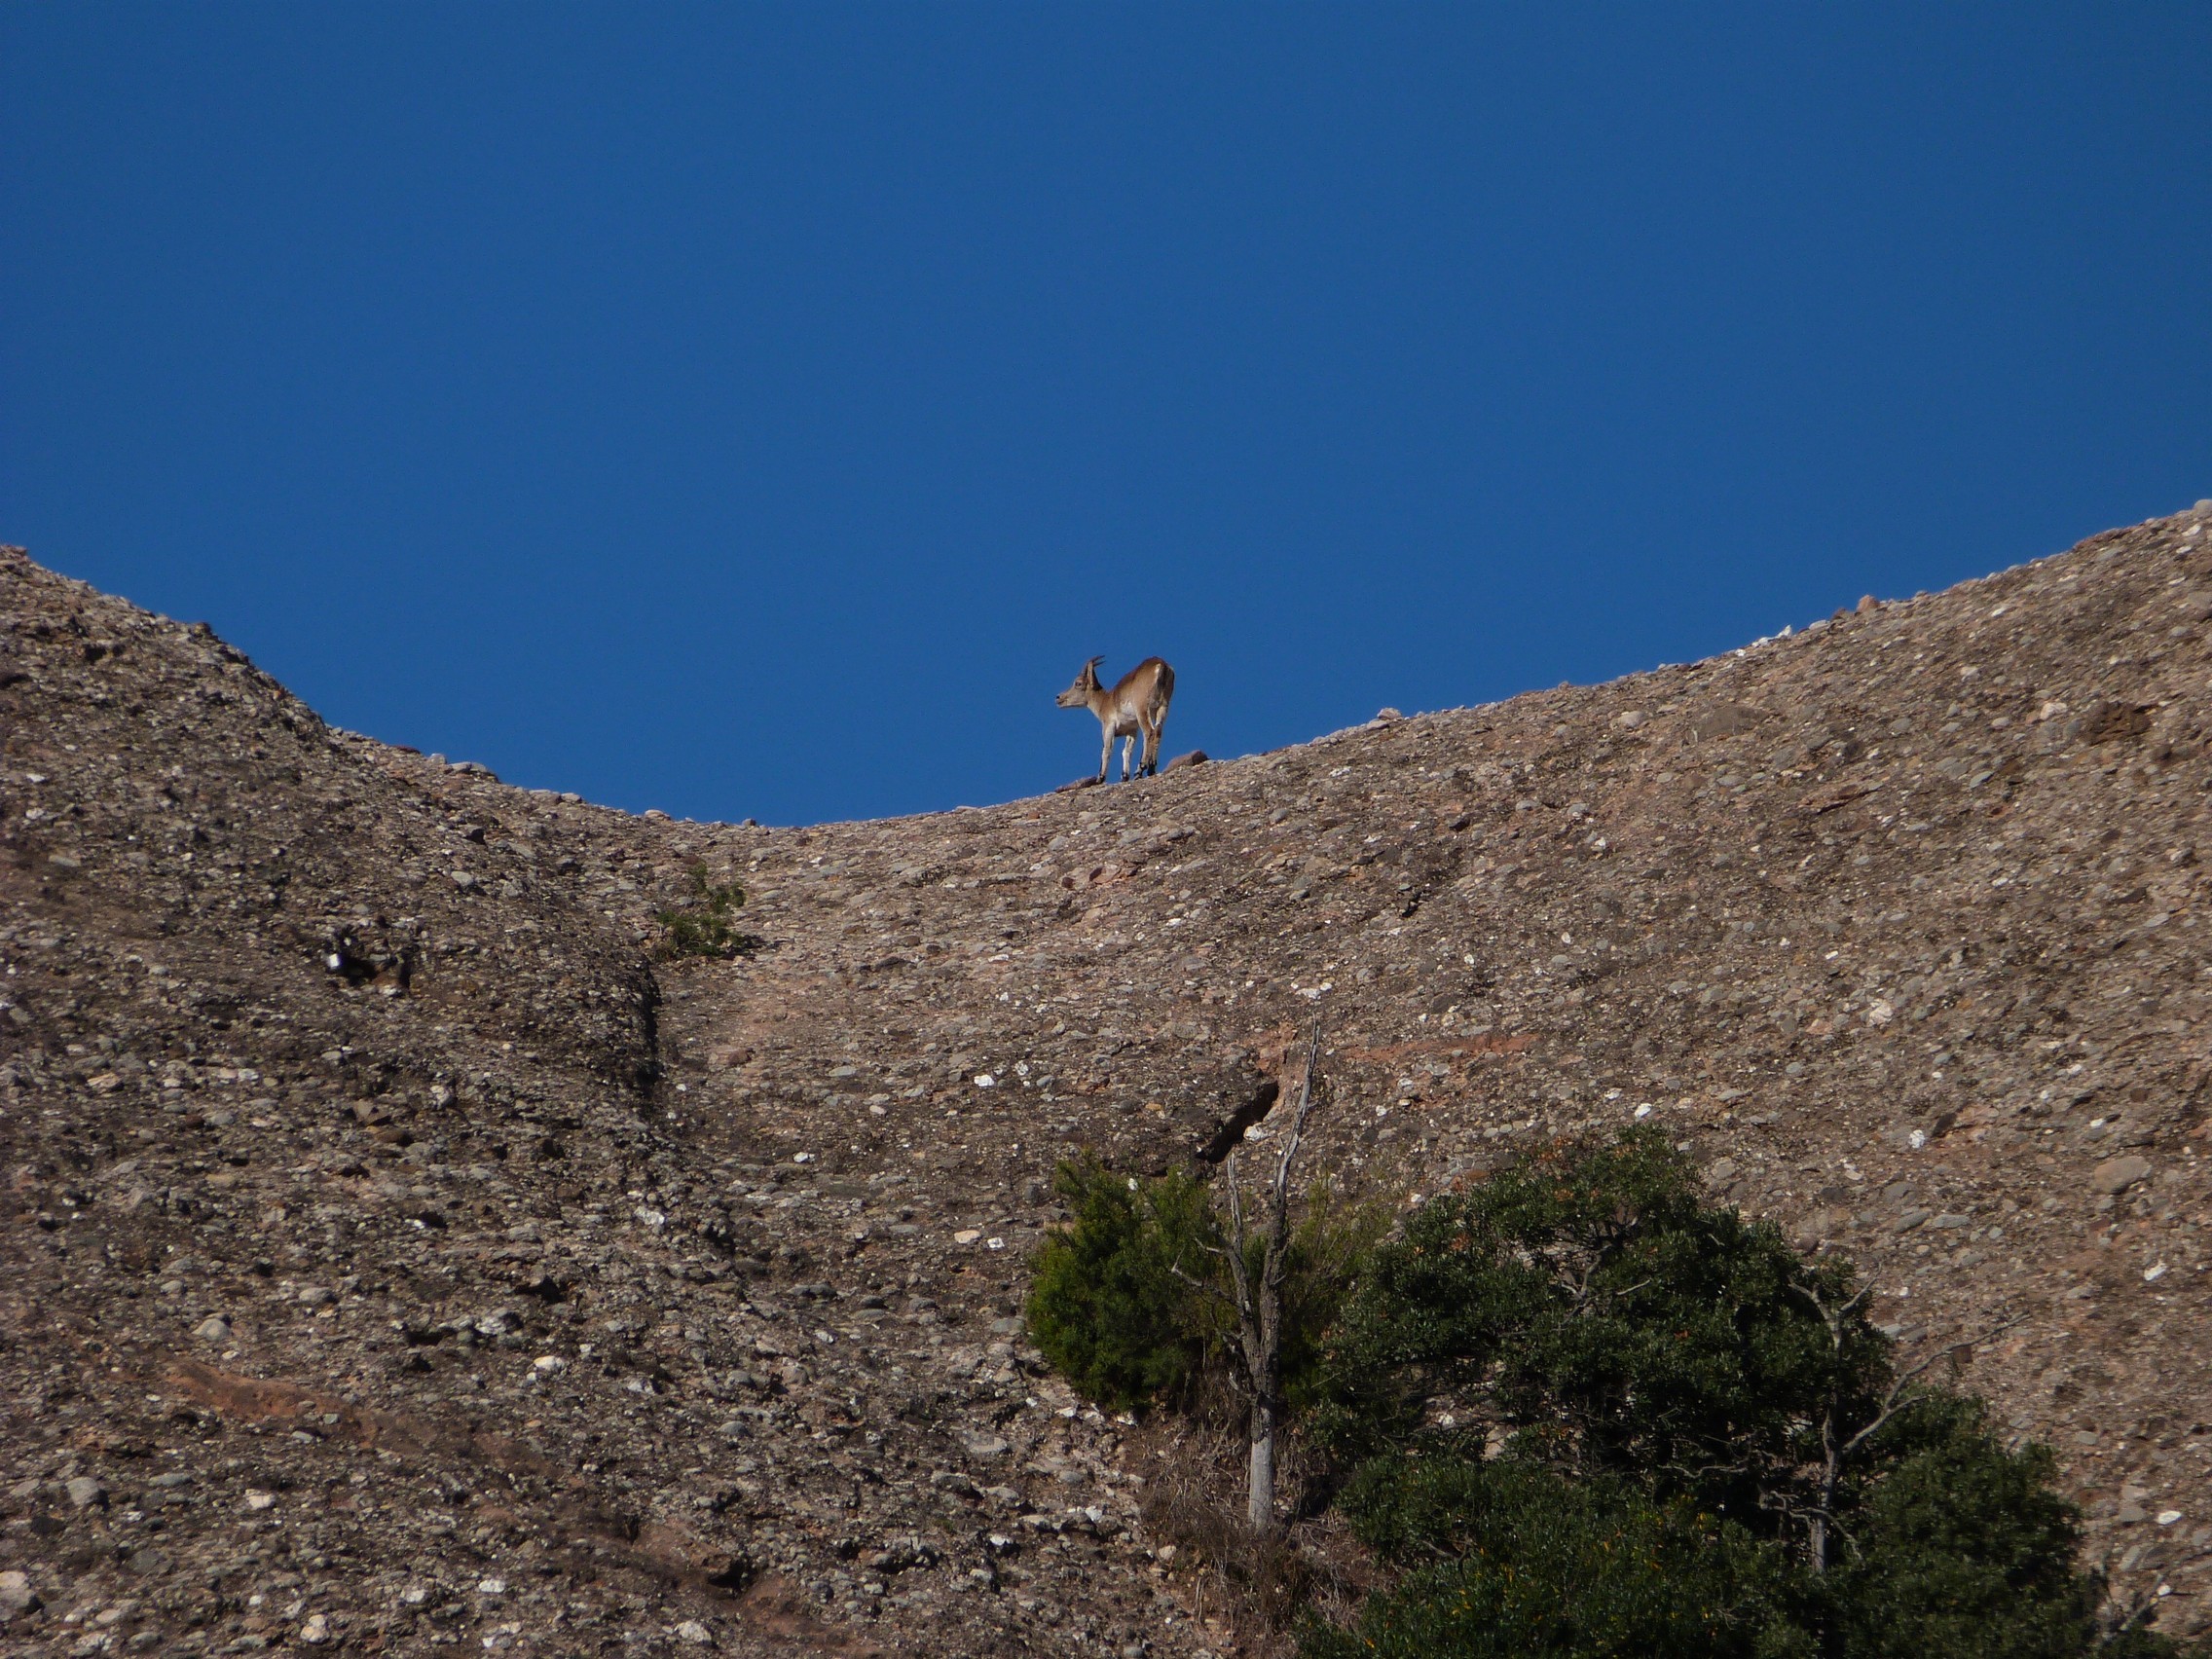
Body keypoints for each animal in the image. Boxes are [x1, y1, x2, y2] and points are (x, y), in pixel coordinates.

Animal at [1057, 656, 1175, 782]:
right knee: (1158, 732)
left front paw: (1100, 778)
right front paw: (1124, 776)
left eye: (1078, 683)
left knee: (1149, 732)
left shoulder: (1108, 725)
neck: (1105, 701)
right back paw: (1151, 768)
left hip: (1142, 708)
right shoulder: (1131, 729)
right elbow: (1126, 751)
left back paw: (1140, 768)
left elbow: (1107, 749)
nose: (1058, 697)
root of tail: (1162, 665)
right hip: (1163, 706)